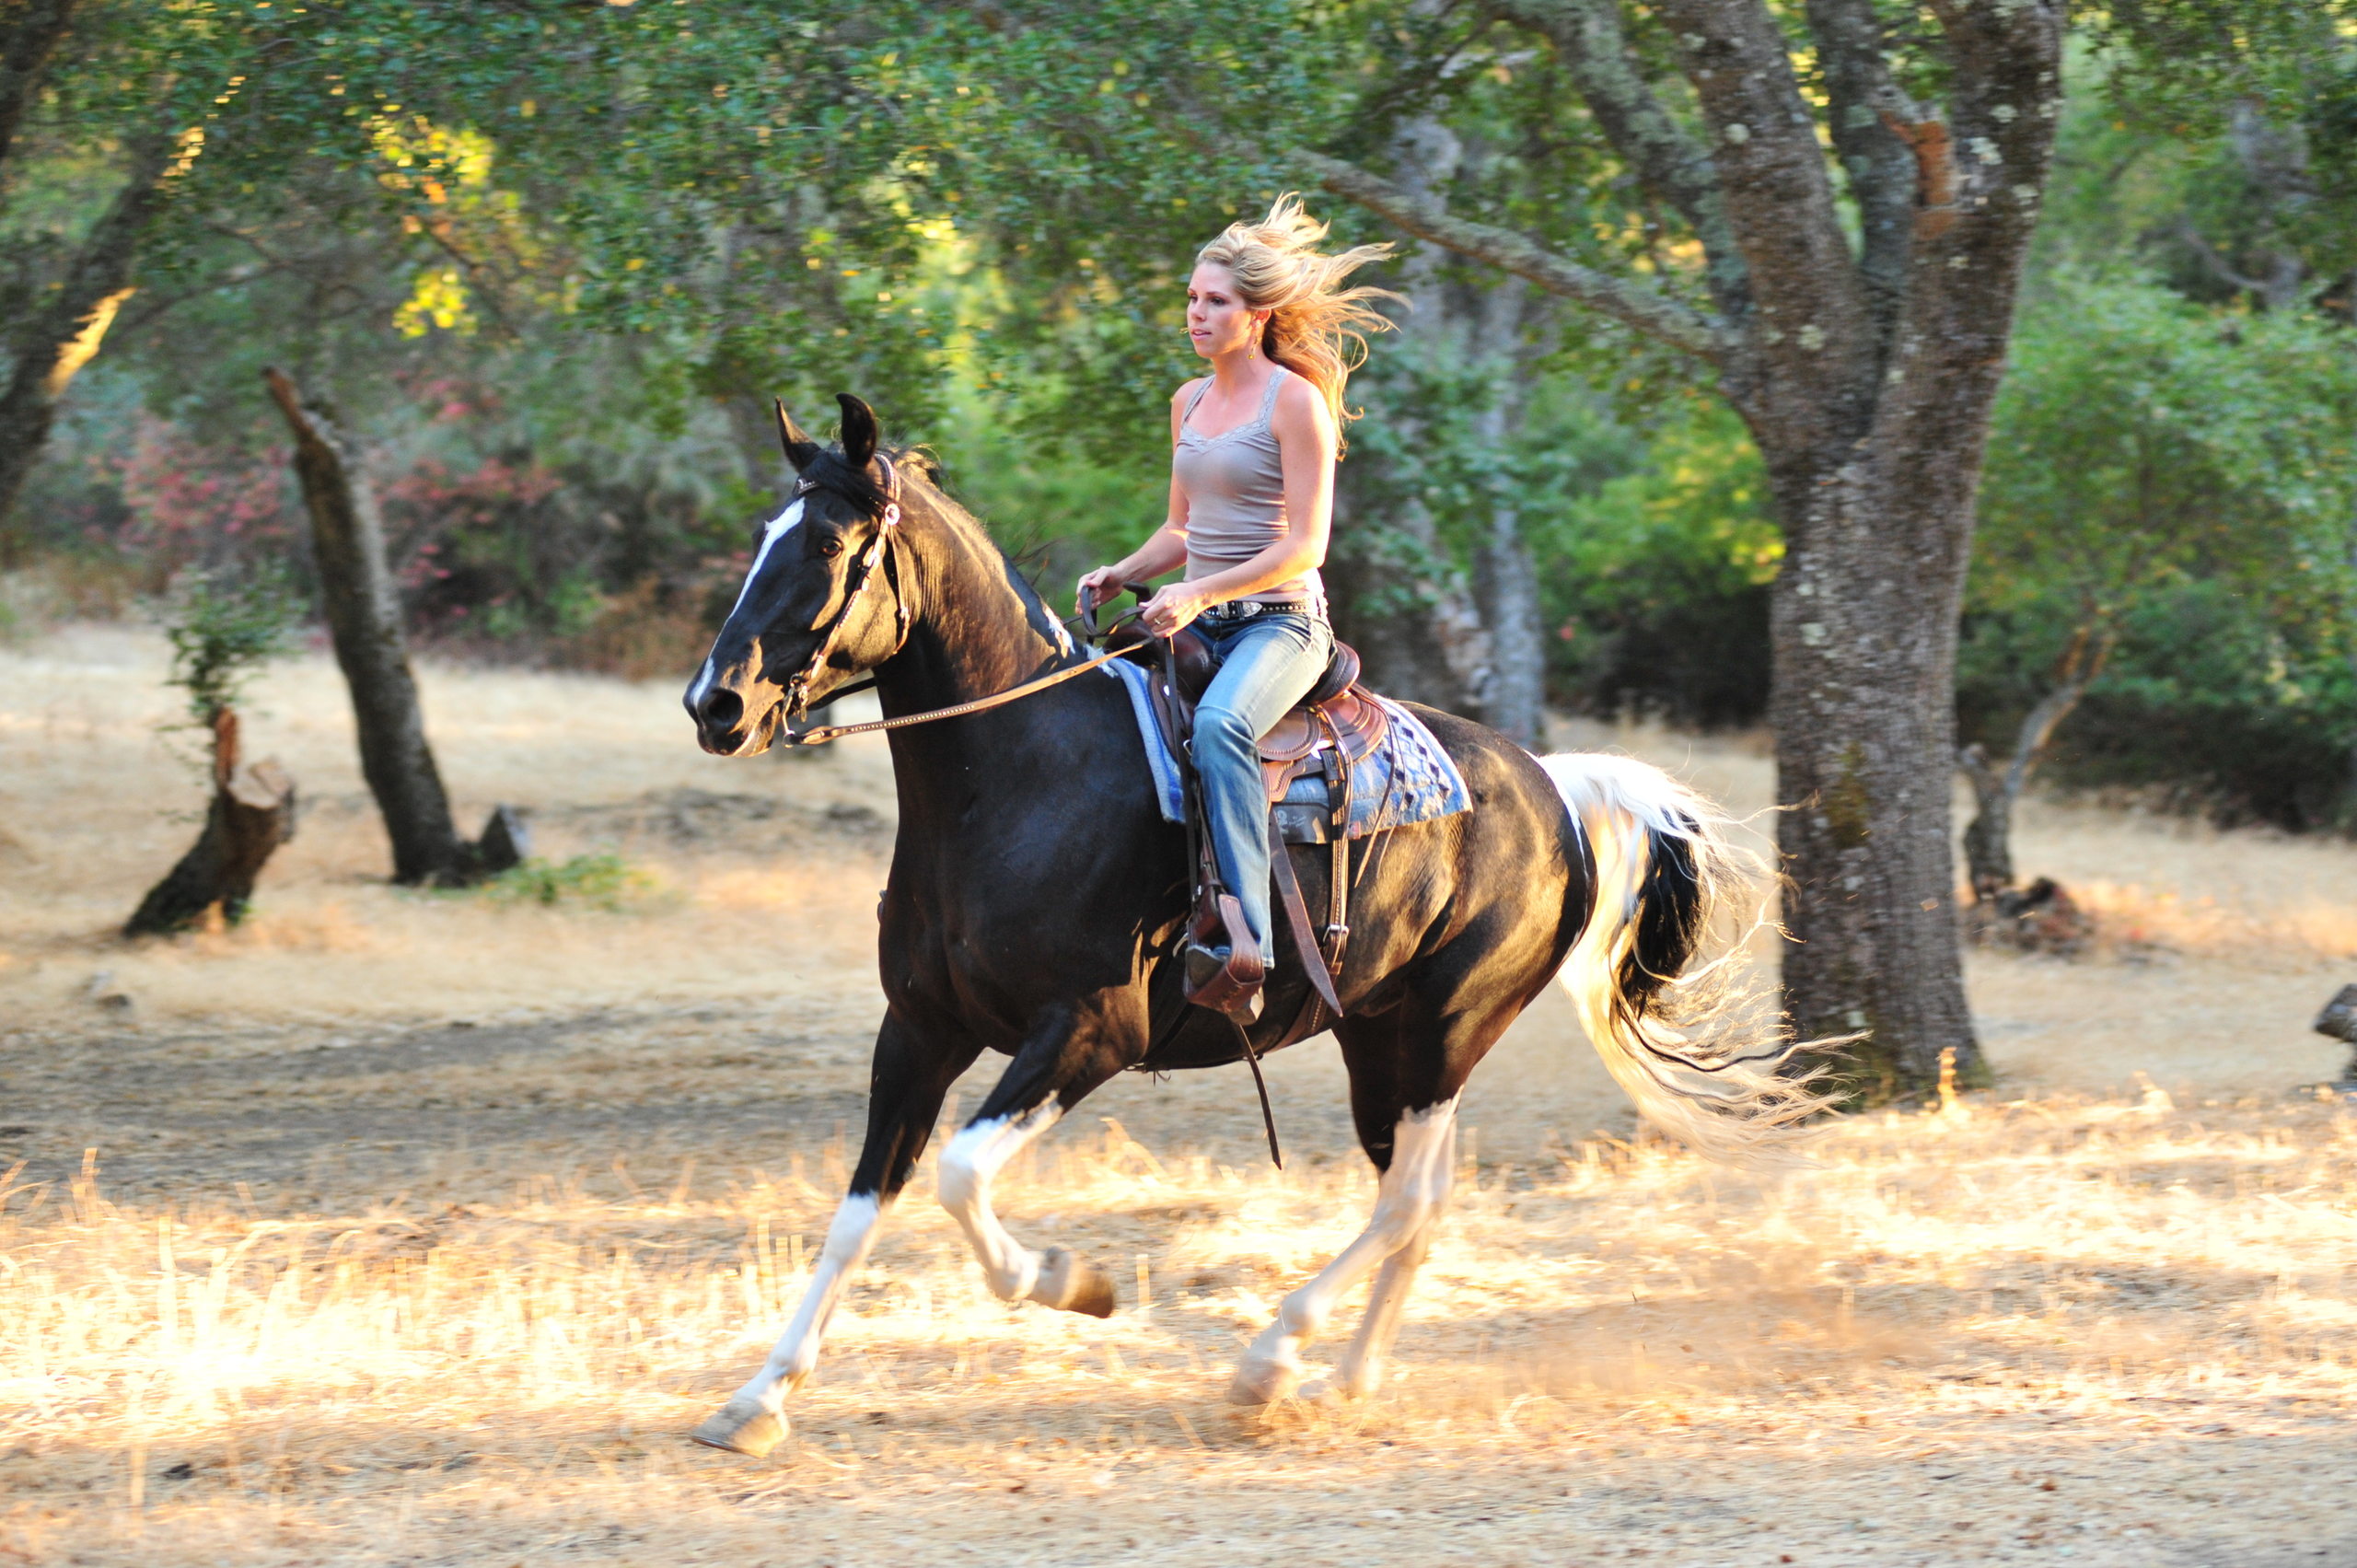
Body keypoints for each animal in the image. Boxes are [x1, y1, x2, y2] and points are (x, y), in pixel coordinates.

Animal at [680, 393, 1824, 1457]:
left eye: (829, 546)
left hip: (1447, 1030)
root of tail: (1553, 783)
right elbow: (857, 1209)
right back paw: (1344, 1375)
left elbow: (961, 1175)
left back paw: (1272, 1357)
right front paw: (757, 1397)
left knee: (1405, 1201)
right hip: (1382, 1040)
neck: (1019, 776)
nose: (714, 703)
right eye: (763, 536)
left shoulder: (1090, 1032)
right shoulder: (916, 1030)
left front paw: (1072, 1279)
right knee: (1419, 1196)